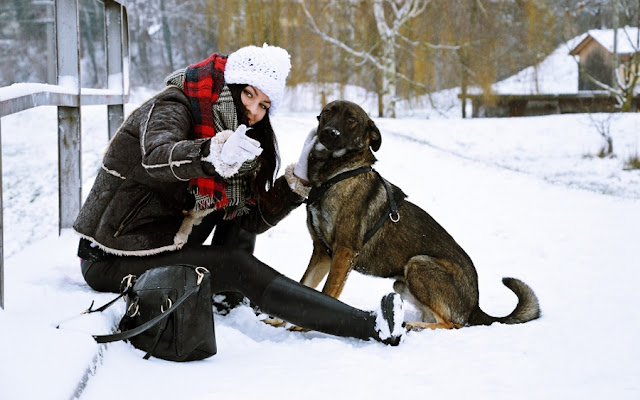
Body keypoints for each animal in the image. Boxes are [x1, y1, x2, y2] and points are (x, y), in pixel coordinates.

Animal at [300, 101, 540, 332]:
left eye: (351, 120)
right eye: (328, 112)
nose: (330, 133)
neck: (335, 174)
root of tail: (475, 306)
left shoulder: (344, 252)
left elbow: (326, 293)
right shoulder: (322, 252)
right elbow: (305, 285)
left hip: (418, 264)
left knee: (452, 324)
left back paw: (415, 326)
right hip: (402, 282)